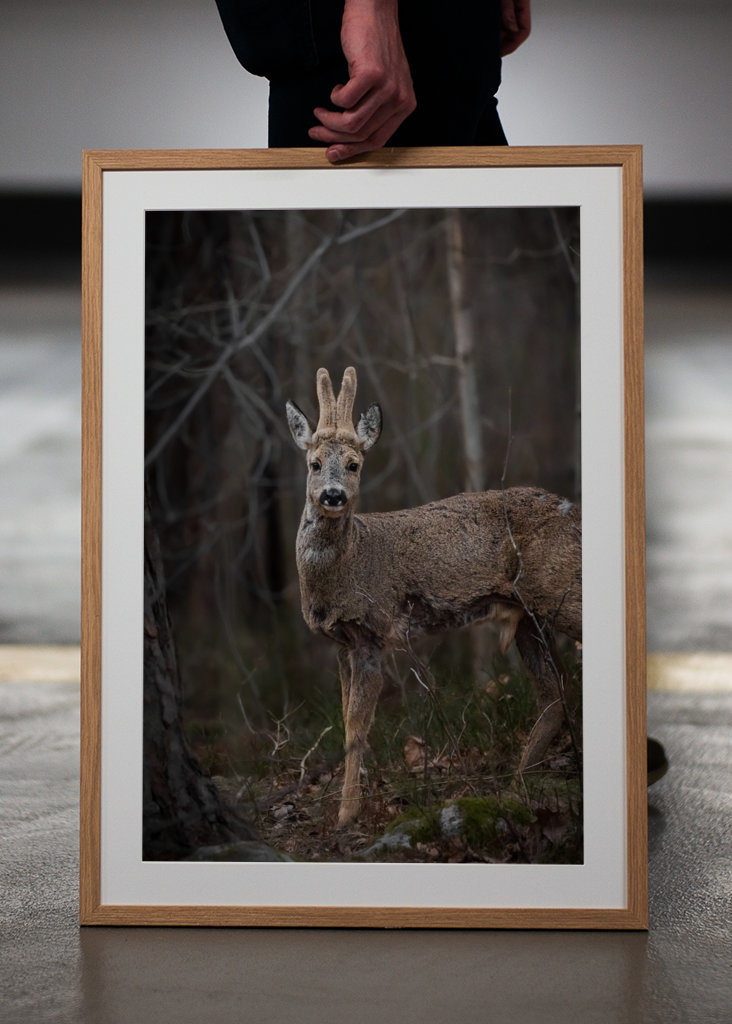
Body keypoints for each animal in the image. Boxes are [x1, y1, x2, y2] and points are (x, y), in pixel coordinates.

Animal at [286, 367, 582, 827]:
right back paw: (519, 783)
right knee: (556, 692)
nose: (333, 495)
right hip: (529, 617)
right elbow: (345, 715)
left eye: (354, 464)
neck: (350, 562)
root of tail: (576, 515)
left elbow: (357, 724)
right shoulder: (341, 642)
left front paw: (347, 813)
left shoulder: (373, 632)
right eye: (314, 464)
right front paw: (353, 801)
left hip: (559, 591)